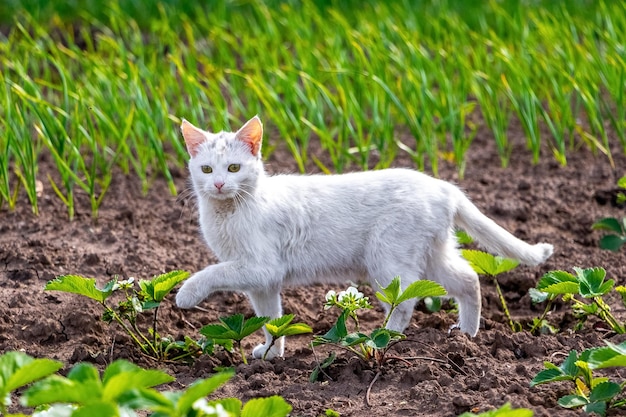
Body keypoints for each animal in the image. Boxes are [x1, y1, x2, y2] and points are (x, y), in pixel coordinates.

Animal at [176, 115, 552, 360]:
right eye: (207, 169)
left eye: (234, 168)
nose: (219, 184)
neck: (229, 211)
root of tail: (443, 186)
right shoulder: (262, 283)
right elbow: (273, 322)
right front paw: (271, 355)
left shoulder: (260, 267)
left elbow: (213, 272)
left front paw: (186, 294)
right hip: (432, 254)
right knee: (469, 279)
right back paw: (467, 337)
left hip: (388, 260)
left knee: (405, 302)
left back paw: (383, 340)